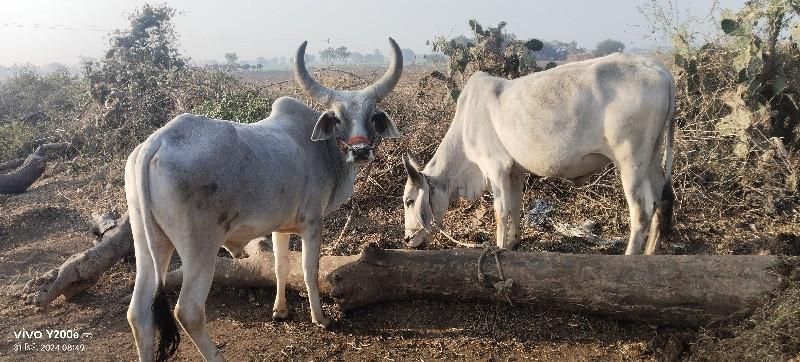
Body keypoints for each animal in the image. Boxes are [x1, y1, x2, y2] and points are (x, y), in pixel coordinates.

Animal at [127, 38, 404, 360]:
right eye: (337, 118)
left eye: (371, 116)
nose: (360, 152)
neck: (319, 149)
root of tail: (157, 141)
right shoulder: (312, 223)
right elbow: (309, 270)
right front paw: (320, 318)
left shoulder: (280, 227)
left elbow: (280, 266)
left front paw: (280, 311)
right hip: (200, 250)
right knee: (189, 312)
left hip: (150, 245)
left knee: (139, 312)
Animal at [404, 53, 672, 256]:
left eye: (409, 201)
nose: (407, 240)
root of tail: (659, 69)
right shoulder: (514, 172)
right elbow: (515, 207)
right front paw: (512, 244)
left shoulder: (496, 168)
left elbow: (501, 212)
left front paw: (499, 248)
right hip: (652, 156)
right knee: (661, 201)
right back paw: (650, 254)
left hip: (630, 161)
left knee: (641, 211)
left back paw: (630, 257)